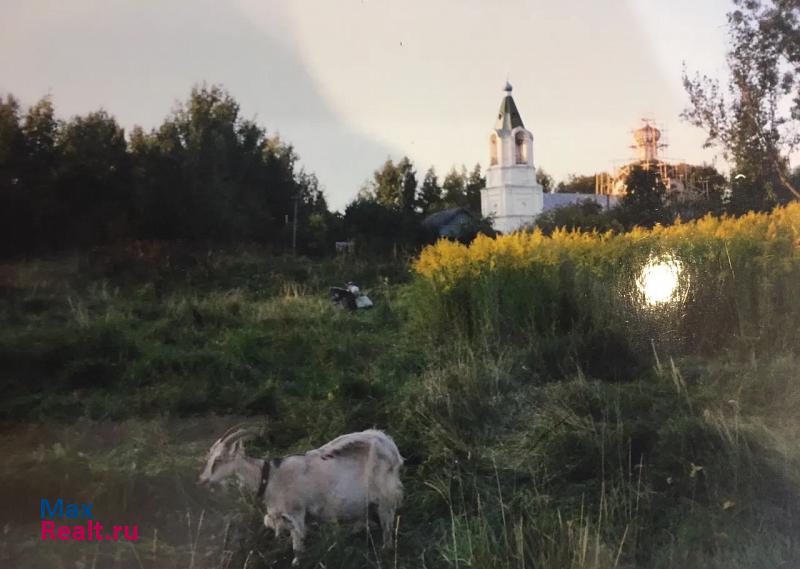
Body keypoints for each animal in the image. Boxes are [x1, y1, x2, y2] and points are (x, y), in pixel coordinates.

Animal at [197, 426, 404, 564]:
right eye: (210, 458)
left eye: (219, 460)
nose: (202, 480)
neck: (270, 477)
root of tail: (390, 446)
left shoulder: (295, 513)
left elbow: (297, 549)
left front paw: (297, 562)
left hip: (386, 497)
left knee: (388, 524)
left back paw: (385, 550)